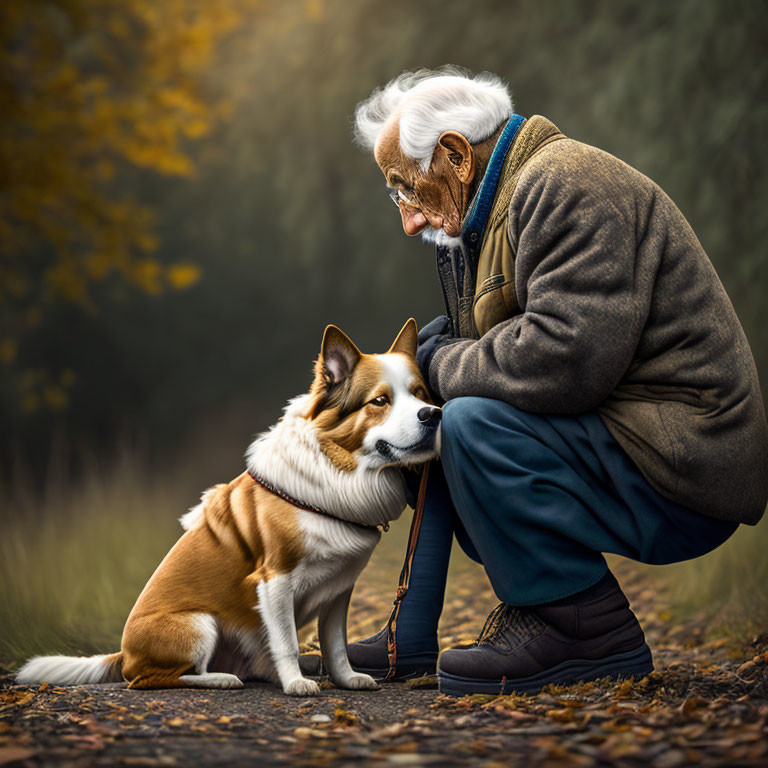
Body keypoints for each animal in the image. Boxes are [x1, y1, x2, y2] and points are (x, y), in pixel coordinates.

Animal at [16, 318, 438, 696]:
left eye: (421, 394)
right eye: (380, 401)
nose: (433, 415)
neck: (338, 469)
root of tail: (122, 655)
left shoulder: (338, 591)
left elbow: (335, 644)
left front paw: (347, 679)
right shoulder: (275, 581)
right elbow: (287, 641)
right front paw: (296, 685)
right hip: (200, 624)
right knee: (153, 679)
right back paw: (221, 679)